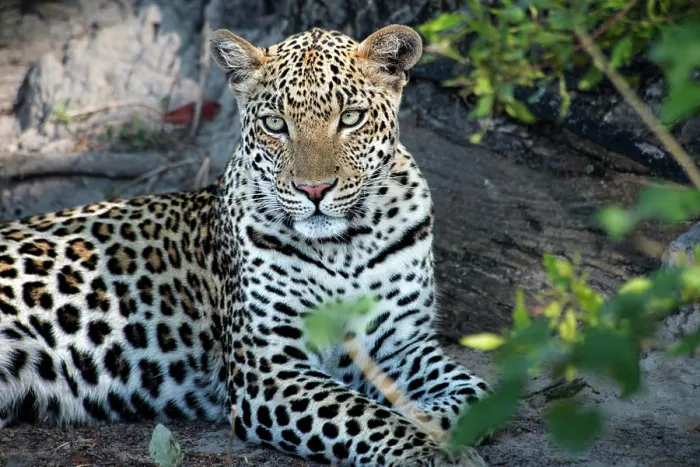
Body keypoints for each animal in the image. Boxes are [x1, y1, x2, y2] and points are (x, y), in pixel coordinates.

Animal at [0, 25, 491, 466]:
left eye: (350, 117)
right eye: (276, 124)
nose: (314, 190)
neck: (344, 246)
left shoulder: (402, 344)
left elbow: (474, 394)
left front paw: (432, 424)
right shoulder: (269, 368)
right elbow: (364, 415)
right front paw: (427, 452)